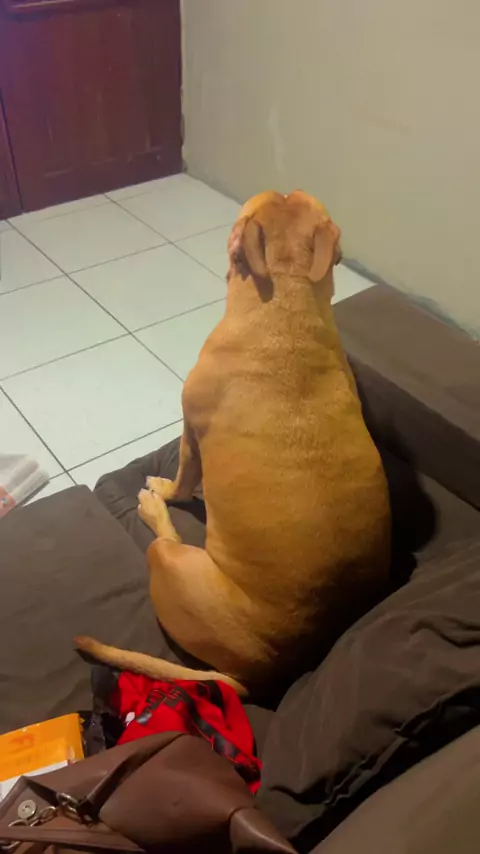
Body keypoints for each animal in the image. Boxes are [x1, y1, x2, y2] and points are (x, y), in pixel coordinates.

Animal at [76, 190, 390, 697]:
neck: (286, 297)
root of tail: (259, 673)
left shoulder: (189, 429)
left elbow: (185, 479)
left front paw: (167, 491)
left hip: (170, 562)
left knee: (165, 537)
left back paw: (152, 508)